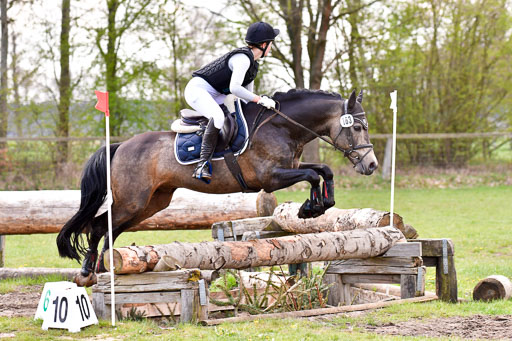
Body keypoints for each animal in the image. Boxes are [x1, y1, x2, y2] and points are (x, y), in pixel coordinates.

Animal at [57, 87, 376, 284]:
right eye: (358, 127)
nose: (370, 165)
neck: (283, 126)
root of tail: (121, 145)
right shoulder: (270, 177)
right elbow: (313, 175)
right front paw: (310, 208)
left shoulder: (289, 168)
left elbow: (323, 170)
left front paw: (318, 205)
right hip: (132, 200)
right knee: (98, 227)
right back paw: (88, 273)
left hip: (152, 202)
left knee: (109, 229)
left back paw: (104, 270)